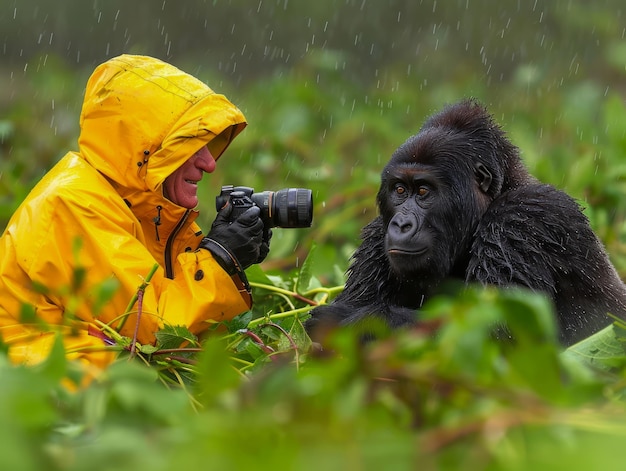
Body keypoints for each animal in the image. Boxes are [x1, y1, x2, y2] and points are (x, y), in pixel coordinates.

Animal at [306, 98, 624, 346]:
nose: (401, 225)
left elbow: (495, 333)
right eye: (399, 190)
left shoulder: (522, 217)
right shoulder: (376, 235)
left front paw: (350, 321)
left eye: (424, 191)